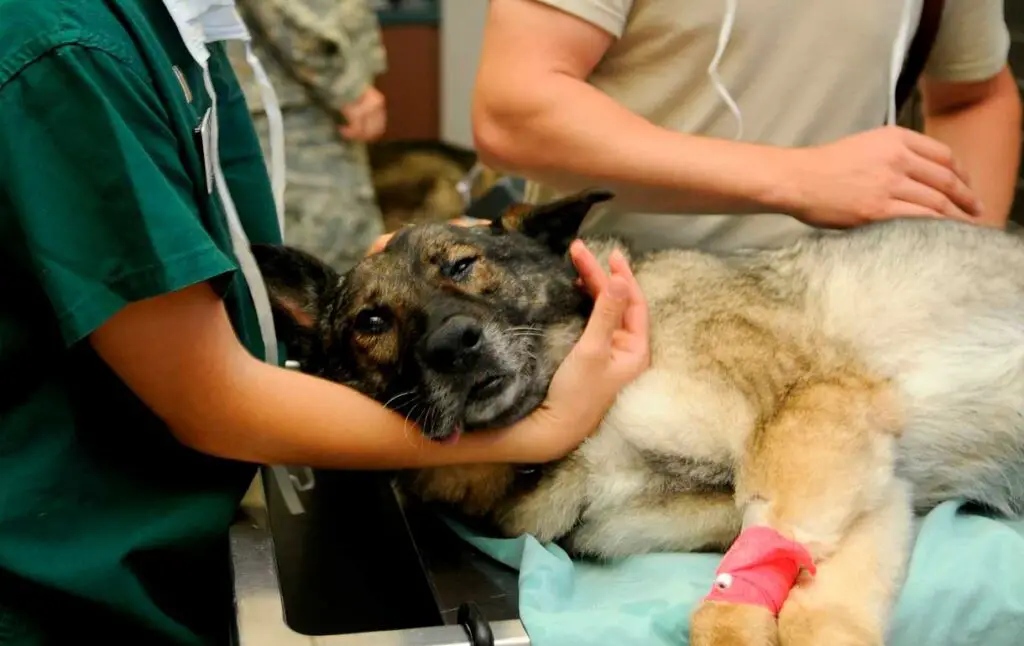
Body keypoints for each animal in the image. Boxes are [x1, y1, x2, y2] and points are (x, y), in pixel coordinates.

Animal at [251, 190, 1024, 646]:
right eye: (371, 322)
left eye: (463, 265)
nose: (453, 344)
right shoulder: (866, 484)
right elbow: (810, 600)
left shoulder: (816, 417)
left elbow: (759, 601)